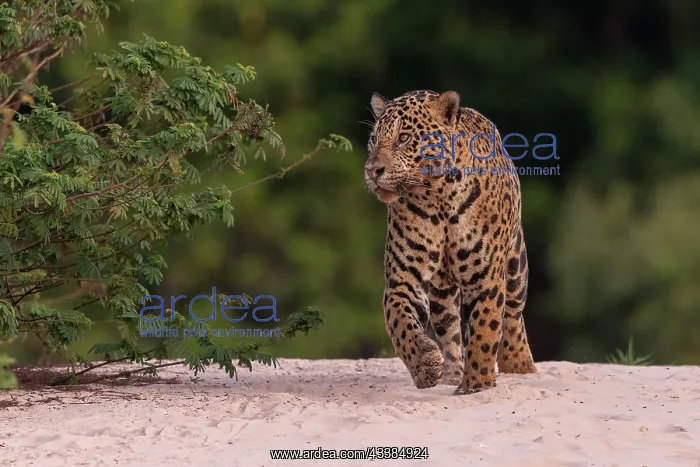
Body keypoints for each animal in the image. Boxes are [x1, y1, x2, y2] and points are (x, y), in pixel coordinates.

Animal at [364, 89, 537, 395]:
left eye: (404, 137)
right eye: (374, 139)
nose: (372, 170)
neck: (437, 197)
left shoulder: (486, 278)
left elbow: (485, 328)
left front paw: (477, 384)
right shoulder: (403, 279)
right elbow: (400, 323)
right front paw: (424, 365)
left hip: (516, 265)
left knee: (514, 315)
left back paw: (519, 363)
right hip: (442, 293)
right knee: (450, 328)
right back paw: (451, 374)